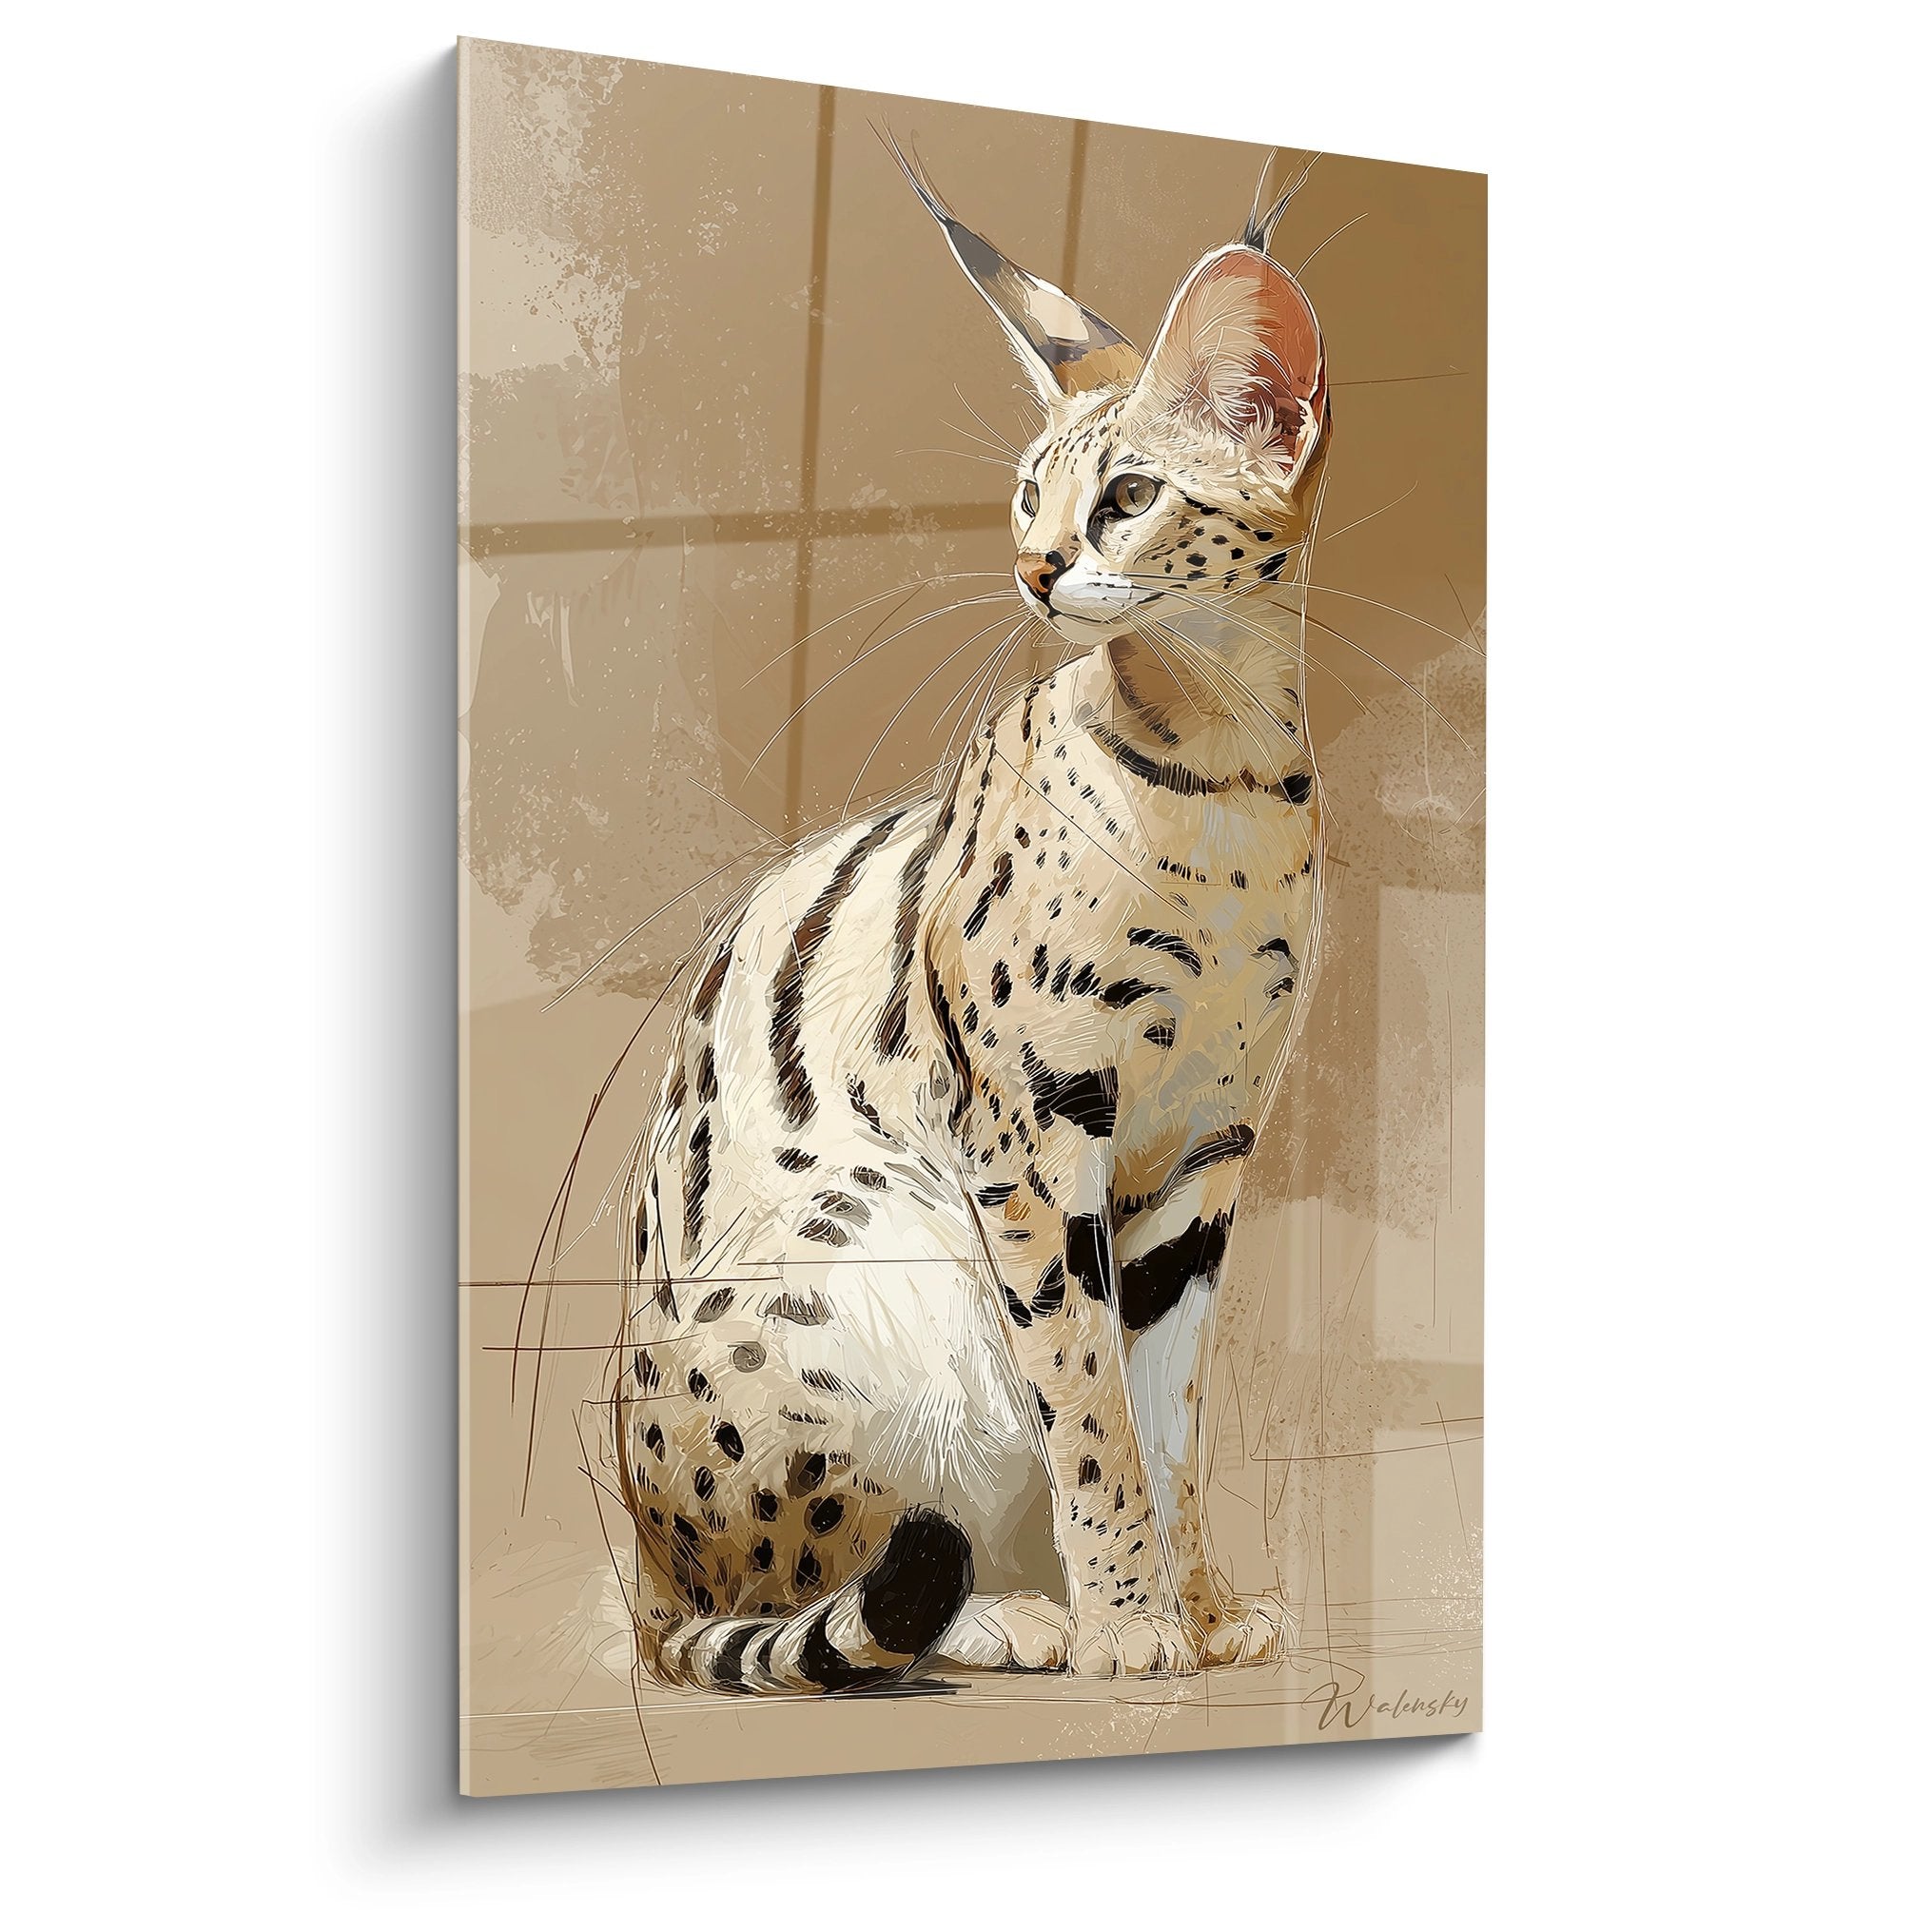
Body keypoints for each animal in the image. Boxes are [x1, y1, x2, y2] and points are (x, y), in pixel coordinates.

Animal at [604, 150, 1330, 1693]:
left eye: (1130, 495)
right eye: (1026, 497)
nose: (1037, 570)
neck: (1225, 772)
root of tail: (641, 1575)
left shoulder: (1206, 1146)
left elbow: (1164, 1411)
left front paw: (1195, 1603)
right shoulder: (1031, 1131)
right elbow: (1088, 1407)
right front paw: (1126, 1619)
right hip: (840, 1269)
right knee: (797, 1587)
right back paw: (1000, 1612)